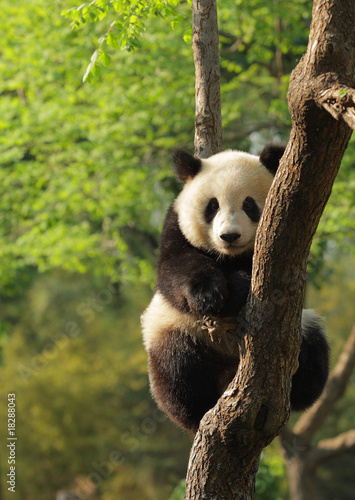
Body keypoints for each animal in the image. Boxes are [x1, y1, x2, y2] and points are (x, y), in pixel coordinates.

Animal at [142, 145, 330, 434]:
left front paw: (238, 288)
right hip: (176, 329)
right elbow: (174, 270)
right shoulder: (175, 227)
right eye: (213, 205)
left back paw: (300, 381)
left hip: (301, 327)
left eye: (249, 204)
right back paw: (197, 411)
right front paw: (210, 295)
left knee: (314, 355)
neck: (230, 257)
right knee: (176, 367)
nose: (229, 236)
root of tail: (230, 372)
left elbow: (280, 281)